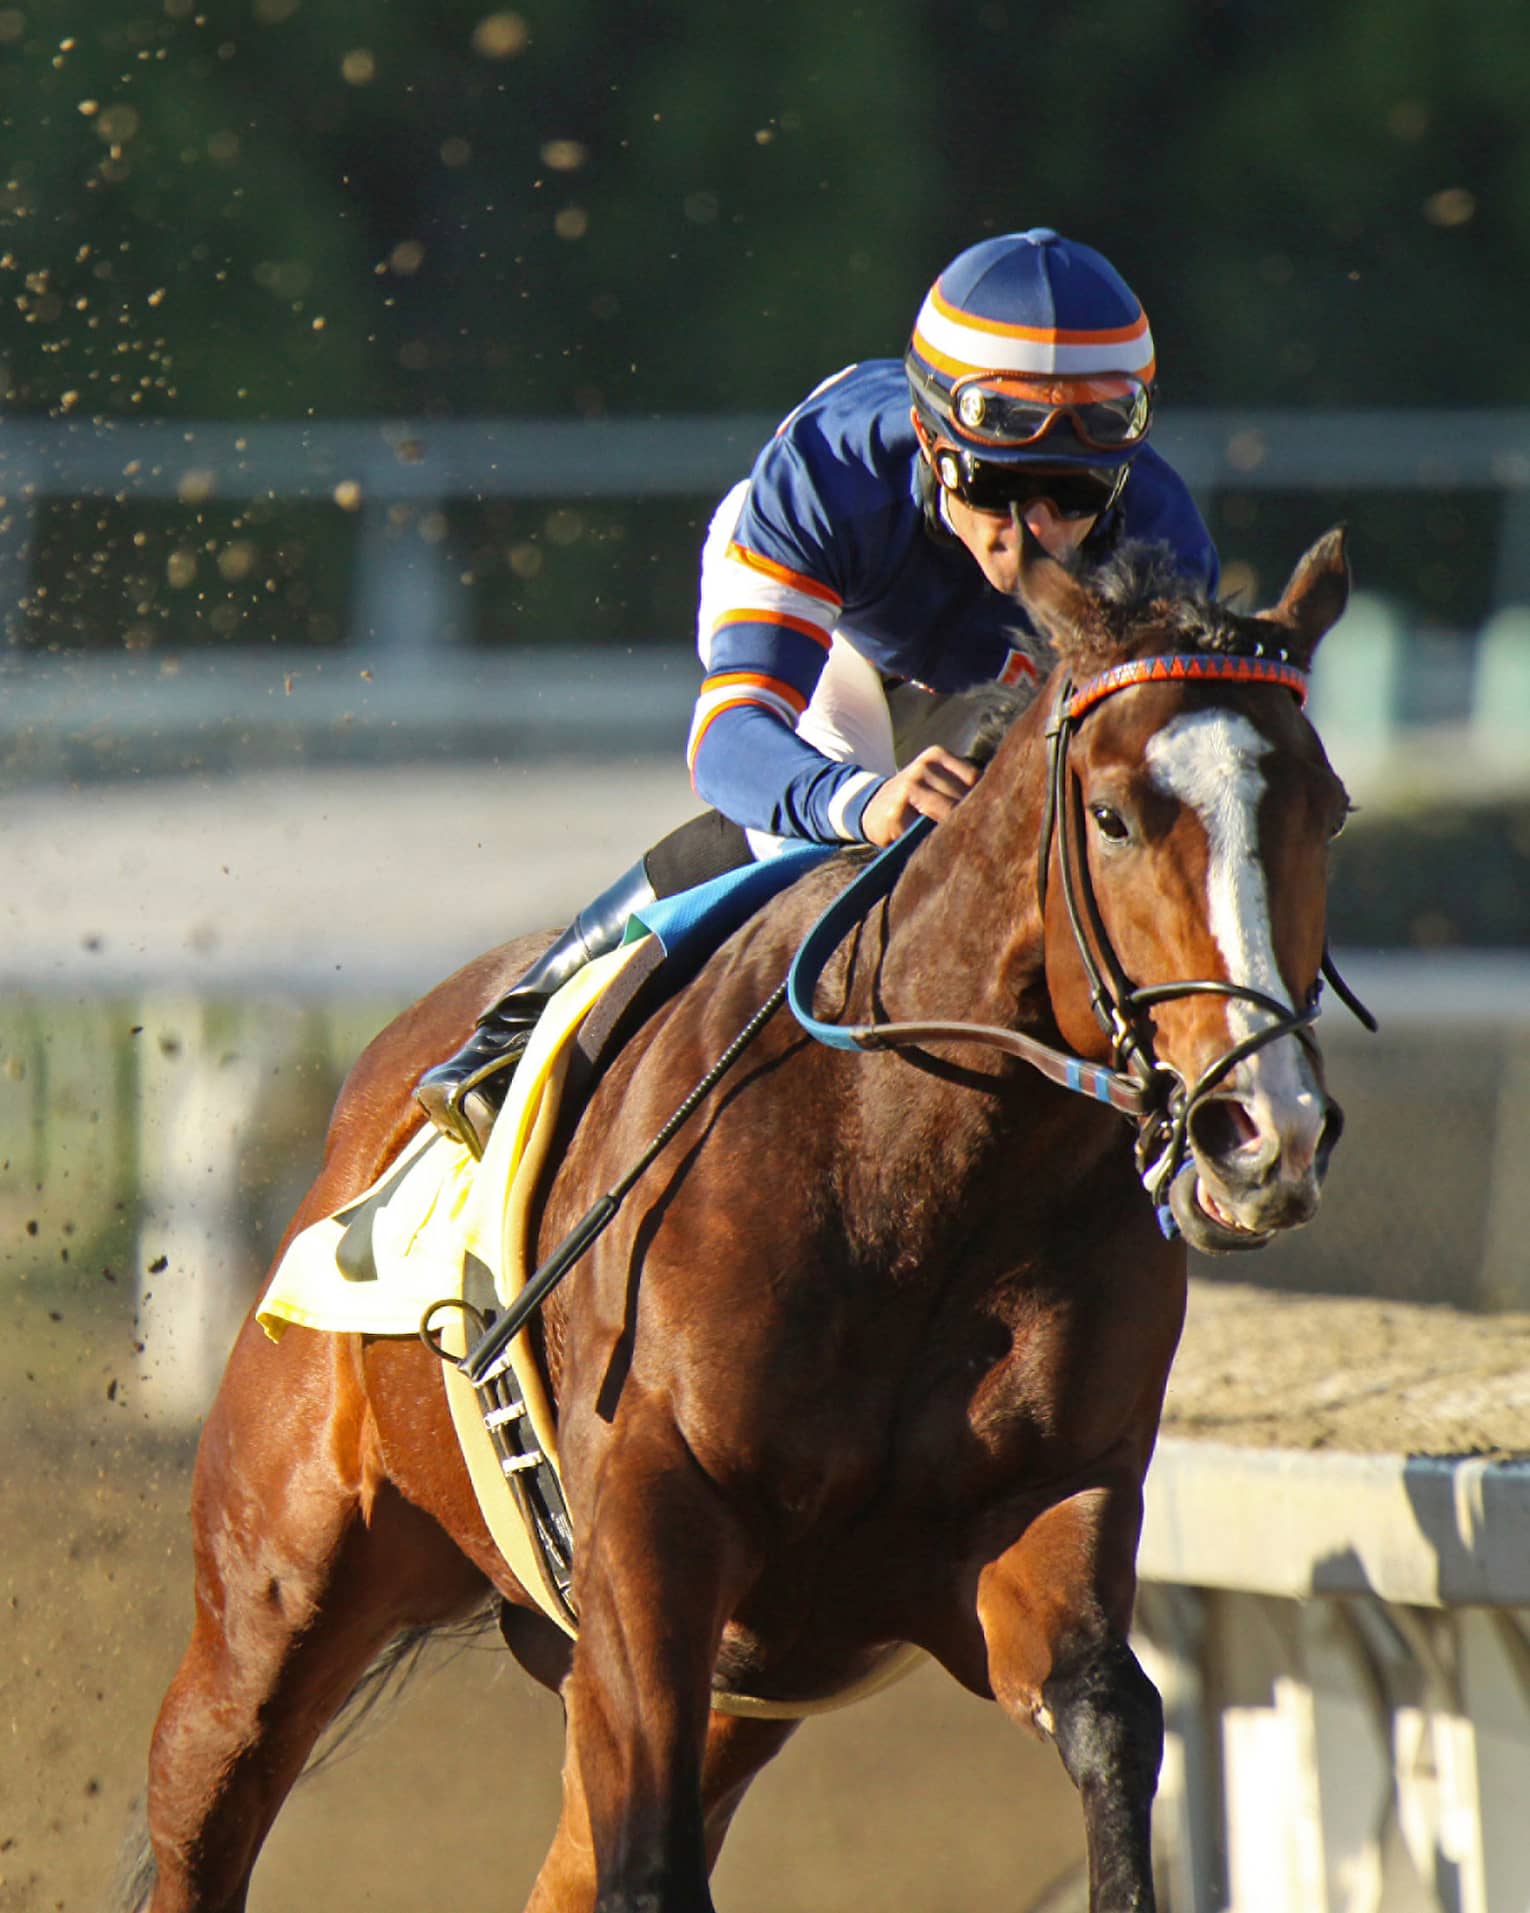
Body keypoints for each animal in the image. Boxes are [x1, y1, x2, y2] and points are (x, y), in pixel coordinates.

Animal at [130, 528, 1356, 1913]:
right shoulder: (653, 1531)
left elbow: (1110, 1714)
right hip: (268, 1597)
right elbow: (650, 1854)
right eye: (1111, 814)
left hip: (713, 1692)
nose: (1263, 1127)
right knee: (207, 1793)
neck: (915, 1185)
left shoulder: (1031, 1512)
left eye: (1329, 809)